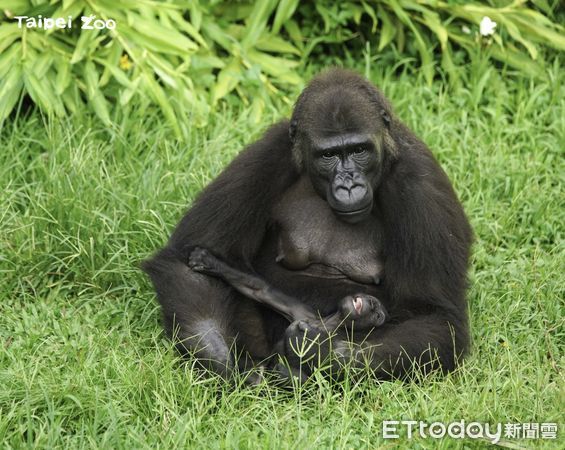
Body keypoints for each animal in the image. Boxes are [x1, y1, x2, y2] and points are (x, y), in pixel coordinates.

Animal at [141, 68, 472, 382]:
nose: (349, 185)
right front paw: (224, 364)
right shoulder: (269, 152)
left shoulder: (420, 182)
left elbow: (434, 316)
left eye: (359, 150)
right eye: (329, 155)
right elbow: (186, 256)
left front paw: (321, 352)